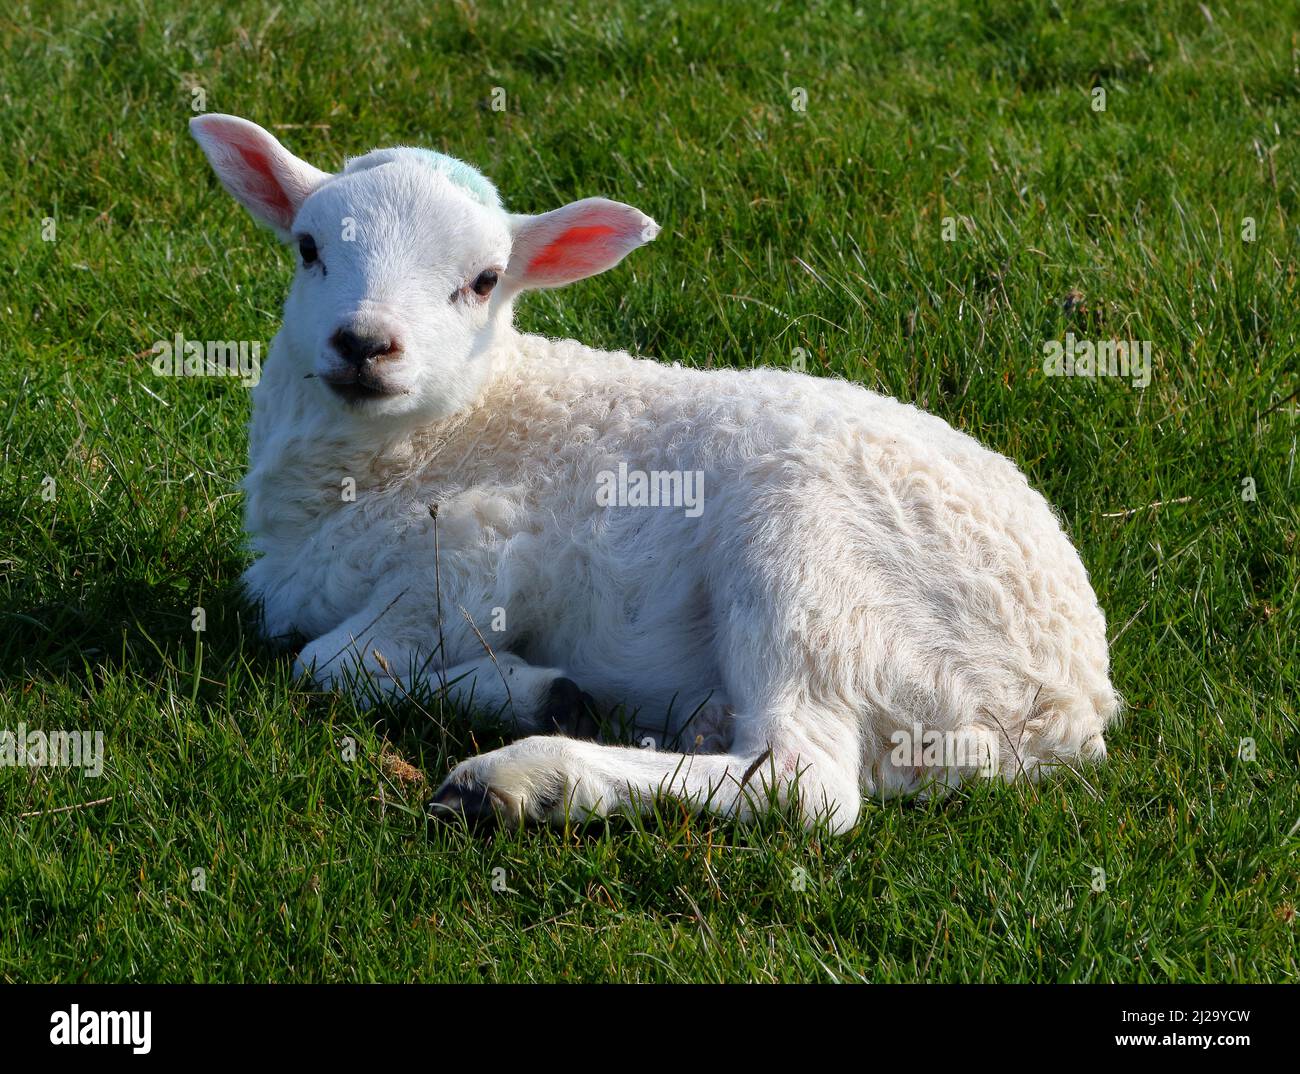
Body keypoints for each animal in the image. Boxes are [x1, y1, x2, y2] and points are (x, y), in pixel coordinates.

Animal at [189, 113, 1118, 832]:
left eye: (484, 281)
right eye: (308, 247)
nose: (364, 344)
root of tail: (1066, 710)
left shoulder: (479, 551)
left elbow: (330, 663)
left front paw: (521, 692)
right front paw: (545, 688)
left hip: (814, 567)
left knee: (804, 782)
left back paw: (525, 781)